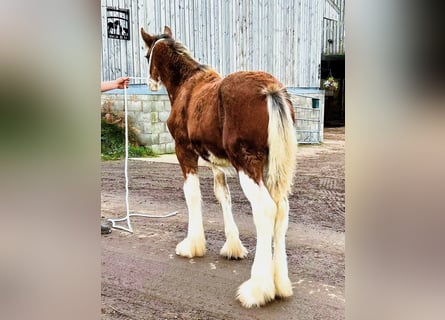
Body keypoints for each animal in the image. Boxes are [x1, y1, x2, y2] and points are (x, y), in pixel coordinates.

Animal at [140, 25, 296, 308]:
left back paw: (258, 289)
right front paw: (233, 246)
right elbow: (223, 196)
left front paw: (192, 245)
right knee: (282, 210)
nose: (150, 82)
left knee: (266, 210)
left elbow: (192, 195)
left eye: (147, 54)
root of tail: (271, 89)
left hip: (248, 164)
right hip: (272, 169)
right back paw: (280, 285)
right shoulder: (216, 162)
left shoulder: (184, 152)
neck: (186, 84)